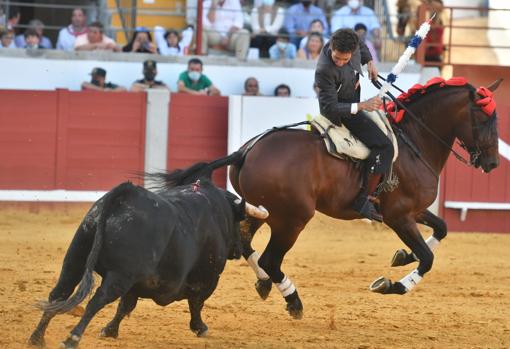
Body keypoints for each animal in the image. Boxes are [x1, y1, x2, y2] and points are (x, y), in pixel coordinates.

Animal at [28, 178, 248, 346]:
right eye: (239, 224)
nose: (239, 250)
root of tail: (126, 194)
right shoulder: (208, 278)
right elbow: (196, 303)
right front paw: (200, 327)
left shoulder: (135, 283)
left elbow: (125, 305)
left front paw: (109, 330)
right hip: (120, 275)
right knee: (97, 299)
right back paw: (72, 338)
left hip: (76, 258)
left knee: (59, 294)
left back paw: (37, 338)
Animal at [158, 77, 498, 320]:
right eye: (484, 120)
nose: (493, 163)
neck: (414, 141)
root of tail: (246, 151)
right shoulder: (399, 216)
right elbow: (427, 259)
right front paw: (392, 284)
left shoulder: (414, 210)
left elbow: (442, 228)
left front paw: (402, 255)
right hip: (292, 219)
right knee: (270, 258)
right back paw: (293, 301)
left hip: (258, 210)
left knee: (245, 243)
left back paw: (265, 283)